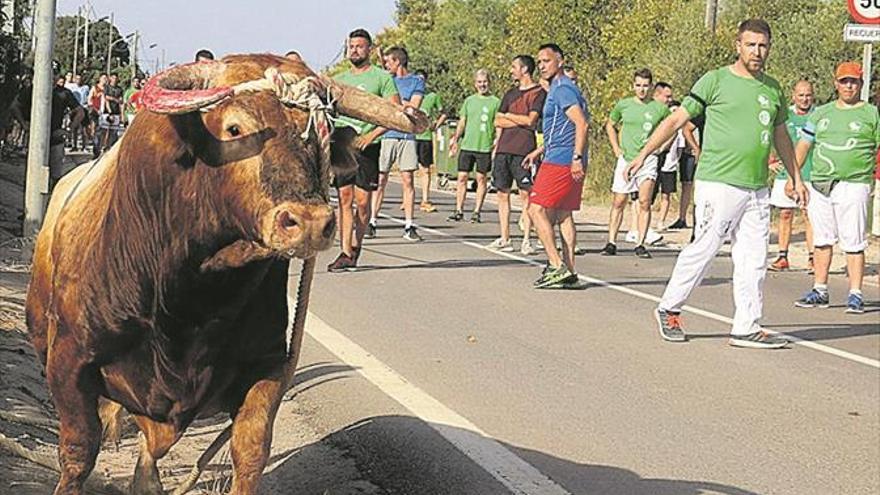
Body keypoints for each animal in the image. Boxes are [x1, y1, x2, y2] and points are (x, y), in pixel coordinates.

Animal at [26, 52, 426, 494]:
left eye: (315, 133)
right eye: (235, 128)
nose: (309, 222)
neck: (189, 294)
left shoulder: (268, 366)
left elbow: (250, 452)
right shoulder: (67, 361)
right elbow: (79, 451)